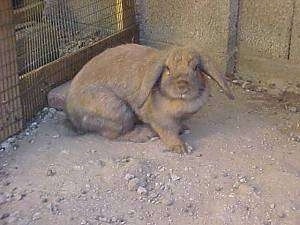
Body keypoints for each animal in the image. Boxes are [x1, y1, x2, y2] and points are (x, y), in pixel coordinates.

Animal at [66, 43, 234, 154]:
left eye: (196, 68)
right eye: (167, 69)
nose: (182, 87)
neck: (180, 102)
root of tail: (72, 115)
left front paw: (183, 129)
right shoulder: (161, 121)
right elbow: (168, 133)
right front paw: (180, 148)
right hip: (117, 111)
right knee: (114, 135)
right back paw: (144, 134)